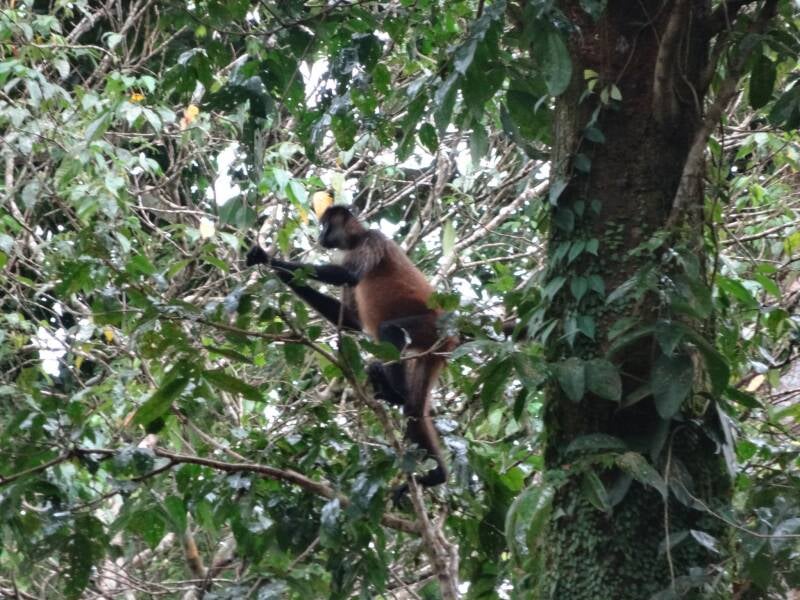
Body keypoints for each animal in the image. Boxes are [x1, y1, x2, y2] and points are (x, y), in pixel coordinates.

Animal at [246, 193, 457, 495]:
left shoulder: (374, 239)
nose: (320, 236)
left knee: (389, 330)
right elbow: (351, 322)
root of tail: (451, 335)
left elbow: (349, 276)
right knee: (415, 411)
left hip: (432, 327)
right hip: (431, 350)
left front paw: (267, 258)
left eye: (326, 226)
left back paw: (396, 394)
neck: (356, 240)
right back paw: (437, 474)